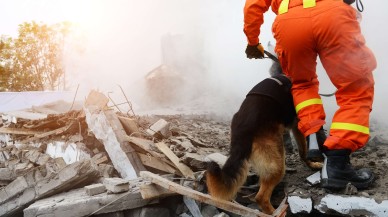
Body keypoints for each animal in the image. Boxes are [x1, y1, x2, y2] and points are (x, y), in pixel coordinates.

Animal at [206, 54, 322, 215]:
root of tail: (242, 130)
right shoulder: (298, 125)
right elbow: (303, 150)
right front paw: (312, 163)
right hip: (277, 162)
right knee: (261, 197)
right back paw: (276, 212)